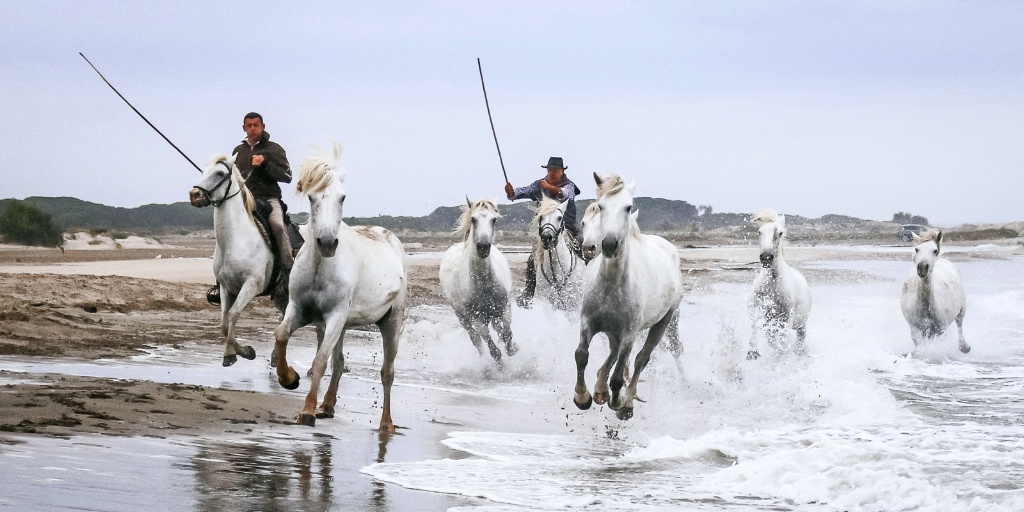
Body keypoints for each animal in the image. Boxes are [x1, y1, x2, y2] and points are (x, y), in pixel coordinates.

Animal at [272, 142, 407, 430]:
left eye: (342, 197)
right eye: (311, 197)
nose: (326, 243)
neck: (320, 267)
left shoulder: (334, 316)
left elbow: (320, 360)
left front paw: (307, 411)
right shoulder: (299, 309)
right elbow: (282, 334)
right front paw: (289, 379)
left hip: (391, 322)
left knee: (387, 373)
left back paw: (386, 423)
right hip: (345, 324)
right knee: (340, 361)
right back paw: (327, 406)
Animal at [440, 195, 520, 360]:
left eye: (494, 220)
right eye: (473, 219)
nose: (483, 247)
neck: (484, 282)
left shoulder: (505, 307)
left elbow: (507, 333)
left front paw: (512, 348)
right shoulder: (476, 318)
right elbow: (493, 349)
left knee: (497, 328)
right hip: (463, 317)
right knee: (476, 340)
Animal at [573, 172, 684, 419]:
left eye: (628, 207)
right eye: (601, 206)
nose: (607, 244)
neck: (612, 284)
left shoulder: (629, 333)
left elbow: (618, 376)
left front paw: (618, 402)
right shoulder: (588, 323)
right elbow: (581, 355)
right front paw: (583, 398)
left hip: (663, 322)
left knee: (641, 359)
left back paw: (627, 402)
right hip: (612, 330)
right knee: (613, 354)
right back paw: (600, 390)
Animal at [749, 209, 811, 358]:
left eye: (780, 233)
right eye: (759, 231)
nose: (766, 257)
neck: (772, 284)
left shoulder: (787, 315)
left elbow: (783, 342)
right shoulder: (757, 306)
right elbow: (754, 324)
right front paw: (752, 352)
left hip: (801, 325)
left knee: (799, 341)